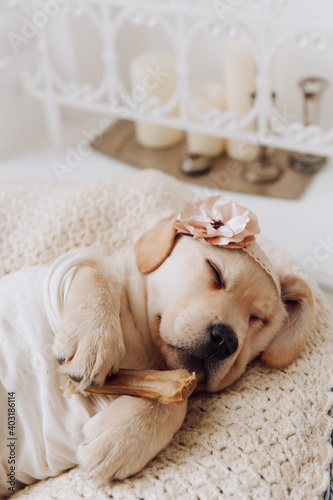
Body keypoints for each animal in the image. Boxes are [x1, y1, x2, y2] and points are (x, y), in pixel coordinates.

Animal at [0, 196, 312, 496]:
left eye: (257, 318)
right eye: (215, 272)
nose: (226, 340)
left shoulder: (173, 376)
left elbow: (179, 397)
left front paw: (120, 440)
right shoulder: (72, 264)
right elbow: (98, 275)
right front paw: (94, 342)